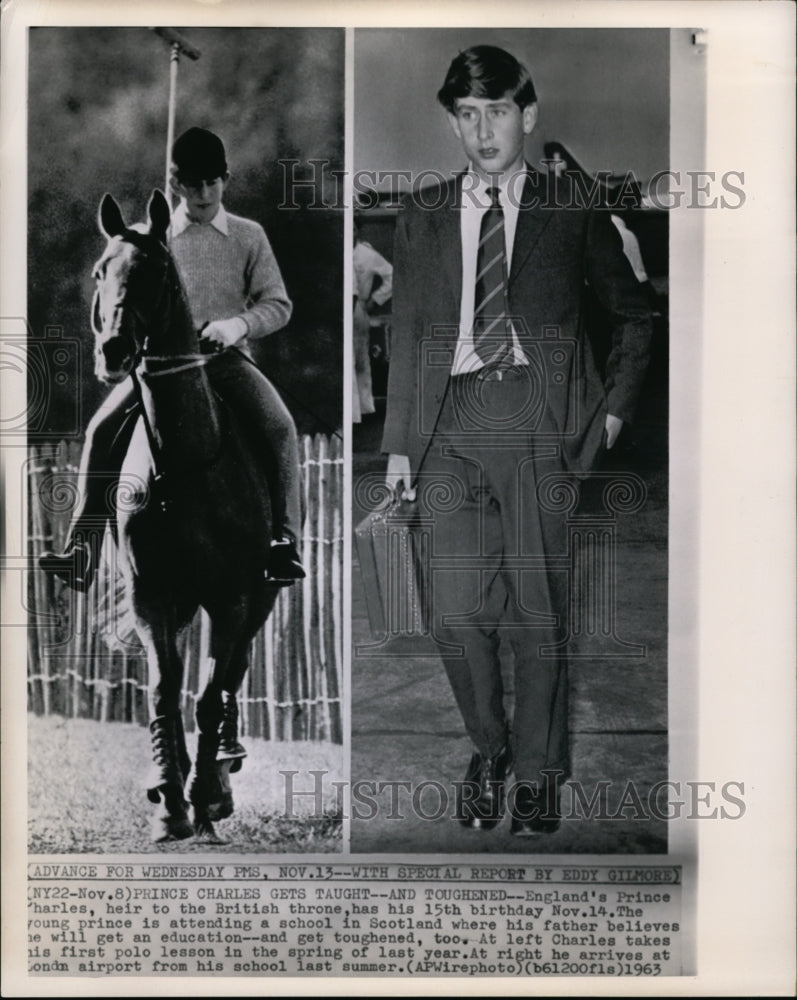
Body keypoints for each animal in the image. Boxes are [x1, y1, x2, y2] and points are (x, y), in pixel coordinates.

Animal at [92, 189, 280, 844]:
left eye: (154, 273)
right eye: (100, 272)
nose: (113, 352)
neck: (187, 464)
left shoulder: (234, 598)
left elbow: (210, 693)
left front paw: (202, 798)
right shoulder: (154, 596)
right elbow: (165, 692)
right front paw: (170, 803)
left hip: (258, 598)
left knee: (231, 677)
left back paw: (221, 775)